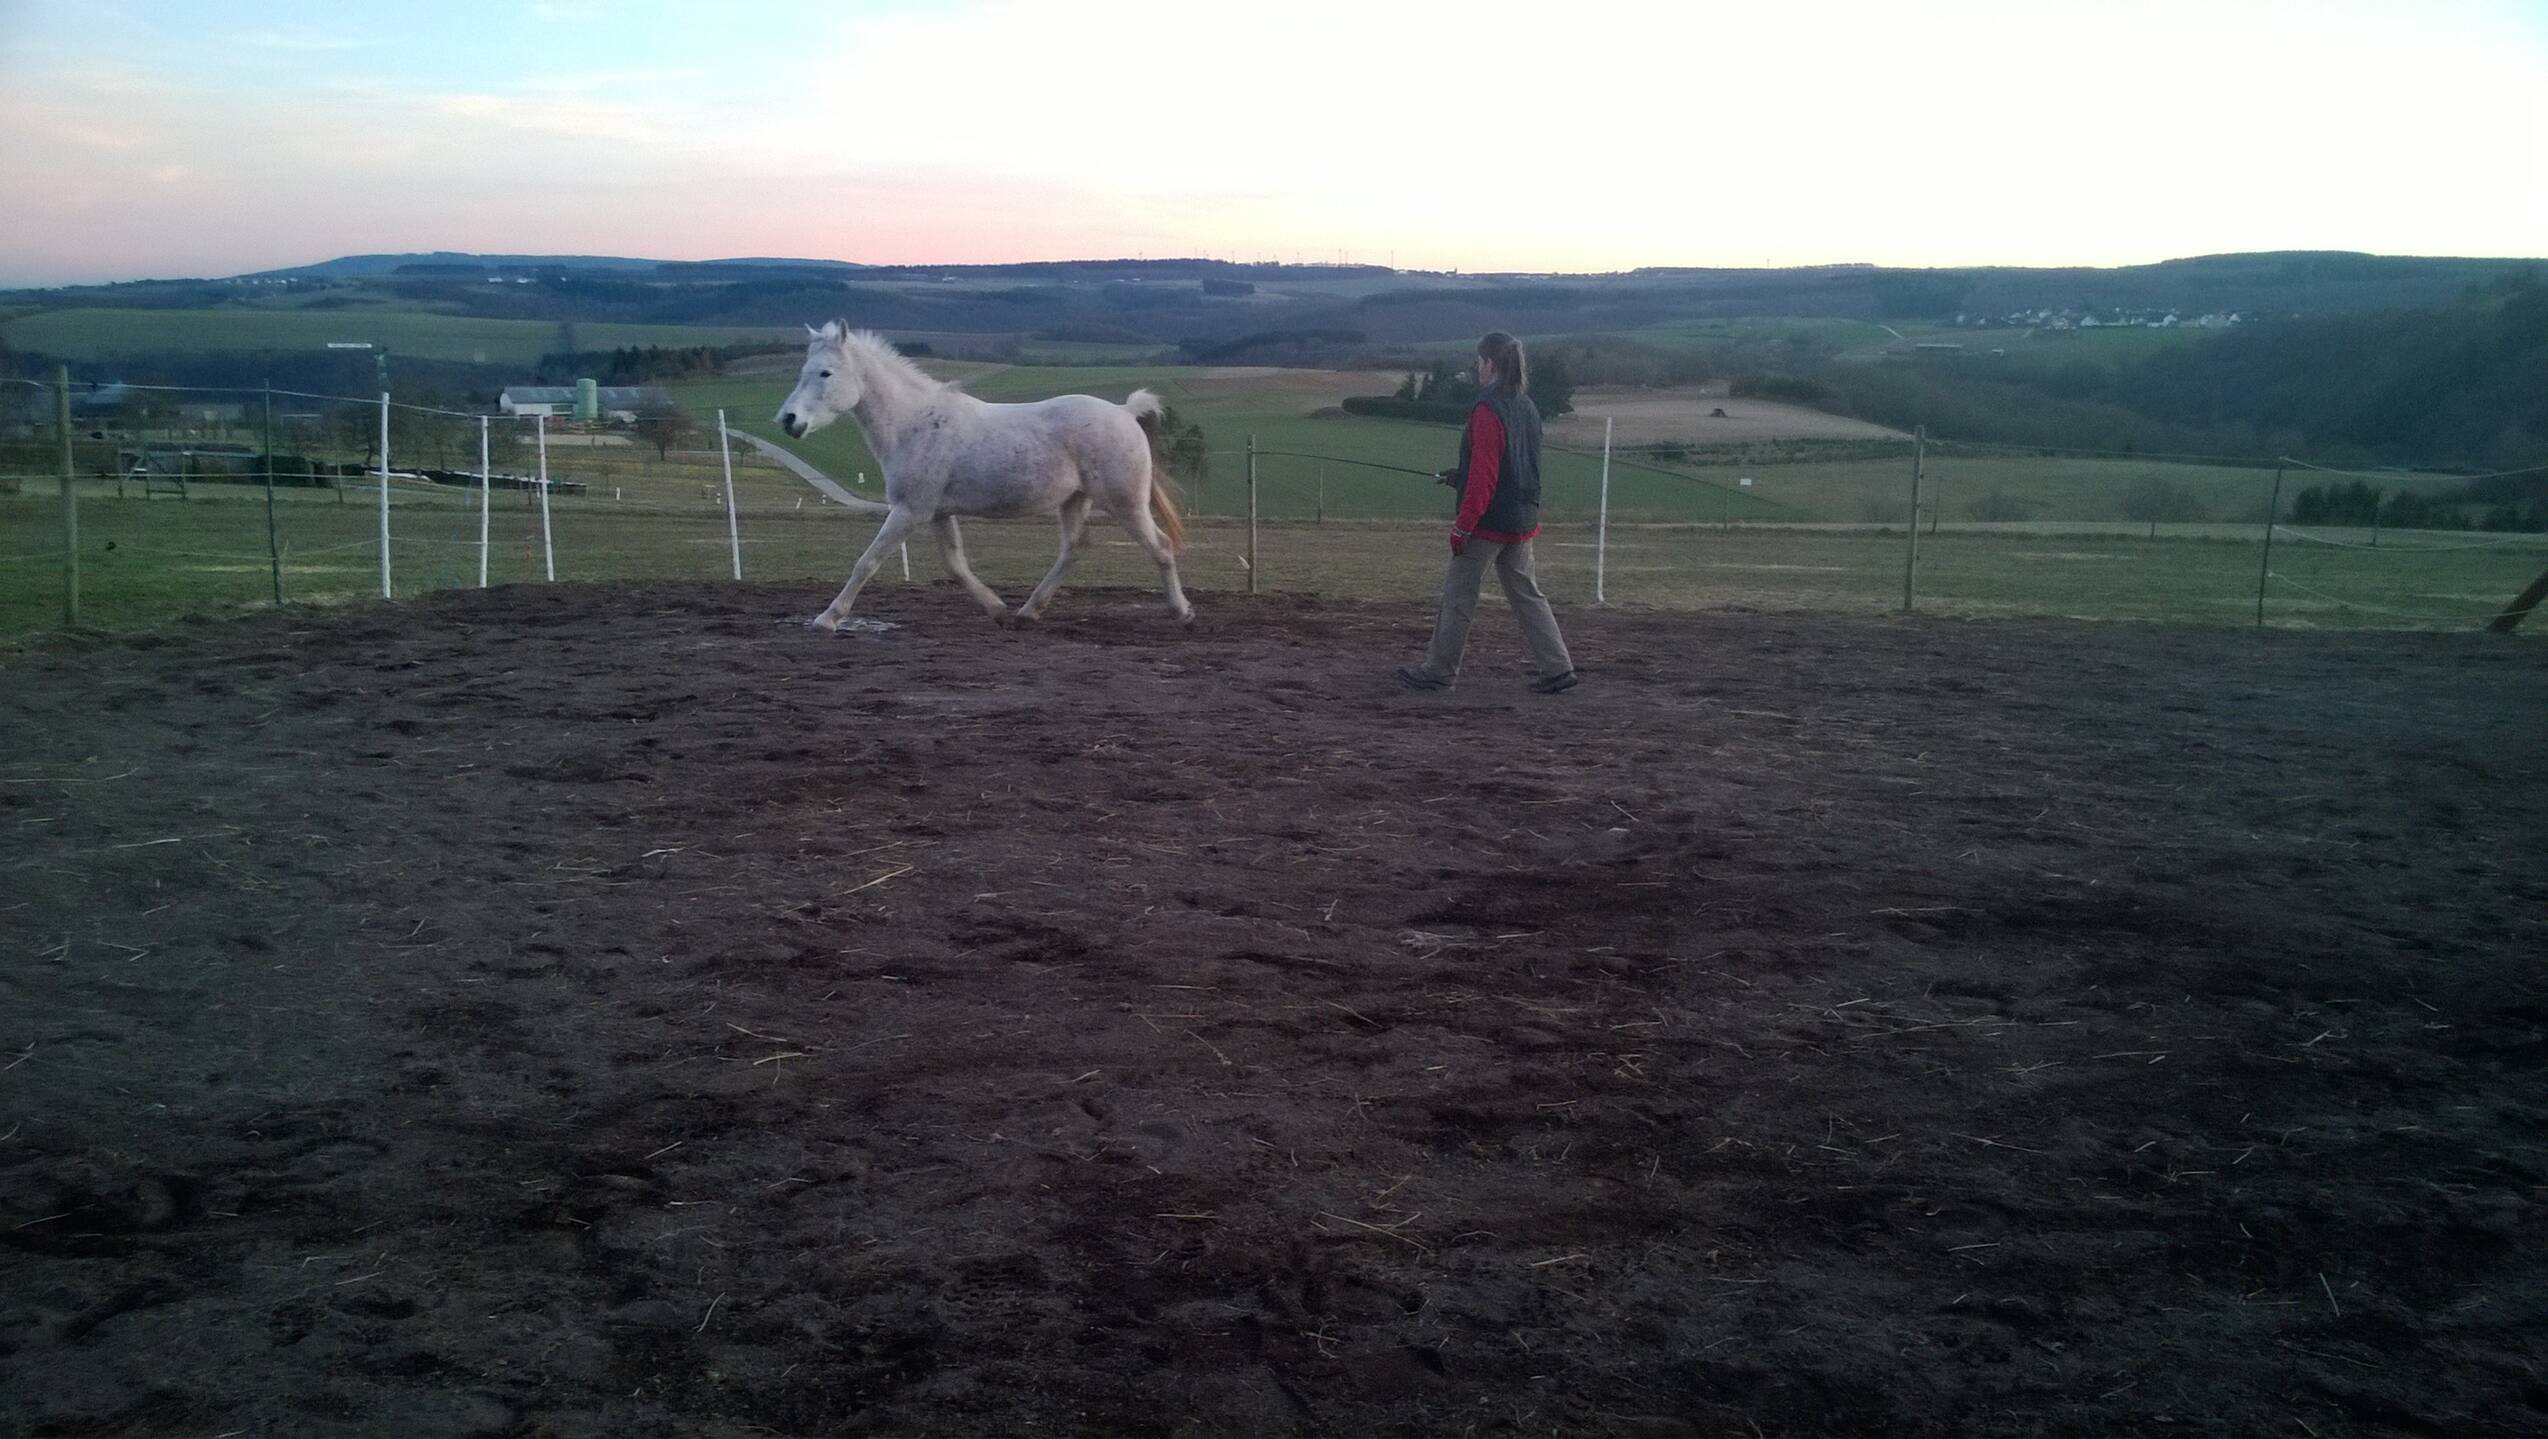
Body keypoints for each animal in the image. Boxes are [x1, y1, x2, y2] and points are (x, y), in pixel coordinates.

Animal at [777, 322, 1193, 631]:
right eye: (803, 371)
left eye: (825, 373)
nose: (788, 420)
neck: (914, 423)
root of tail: (1125, 412)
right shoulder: (938, 513)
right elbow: (956, 566)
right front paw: (997, 609)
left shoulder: (909, 511)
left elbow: (867, 561)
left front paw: (827, 618)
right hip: (1075, 500)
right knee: (1074, 549)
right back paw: (1028, 611)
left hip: (1125, 503)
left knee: (1160, 547)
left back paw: (1181, 611)